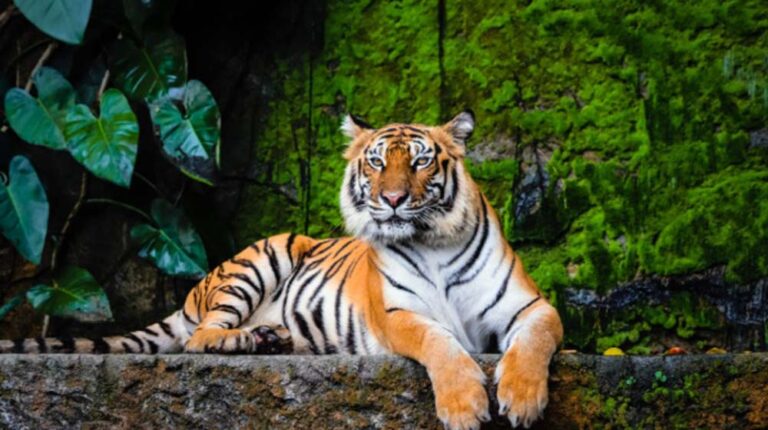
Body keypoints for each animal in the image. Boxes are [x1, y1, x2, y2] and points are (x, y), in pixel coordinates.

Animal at [1, 111, 563, 429]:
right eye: (377, 163)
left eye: (422, 162)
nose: (394, 200)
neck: (432, 240)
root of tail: (193, 292)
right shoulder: (398, 315)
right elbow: (441, 344)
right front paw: (466, 407)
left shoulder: (532, 306)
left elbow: (534, 341)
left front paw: (522, 399)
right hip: (263, 256)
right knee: (199, 338)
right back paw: (244, 339)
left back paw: (274, 337)